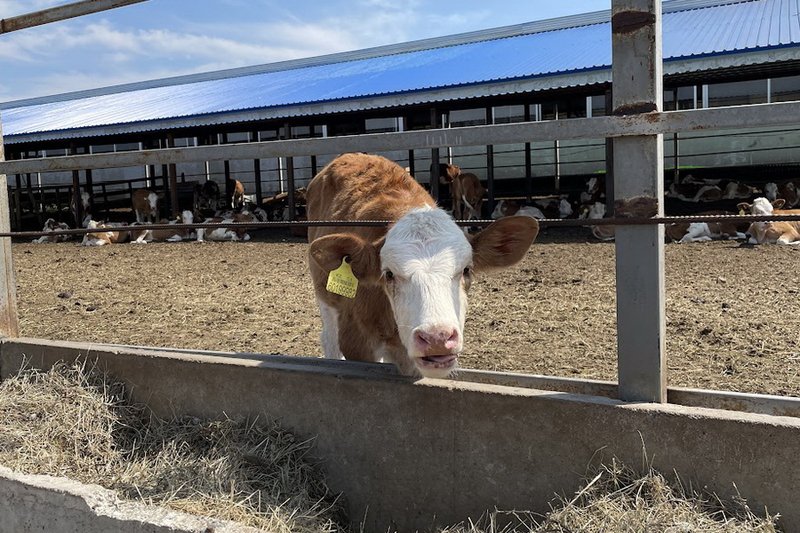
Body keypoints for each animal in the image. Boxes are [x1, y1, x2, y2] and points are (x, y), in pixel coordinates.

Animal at [310, 152, 540, 378]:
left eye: (466, 270)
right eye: (389, 274)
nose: (437, 338)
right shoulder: (356, 341)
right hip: (326, 300)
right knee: (329, 339)